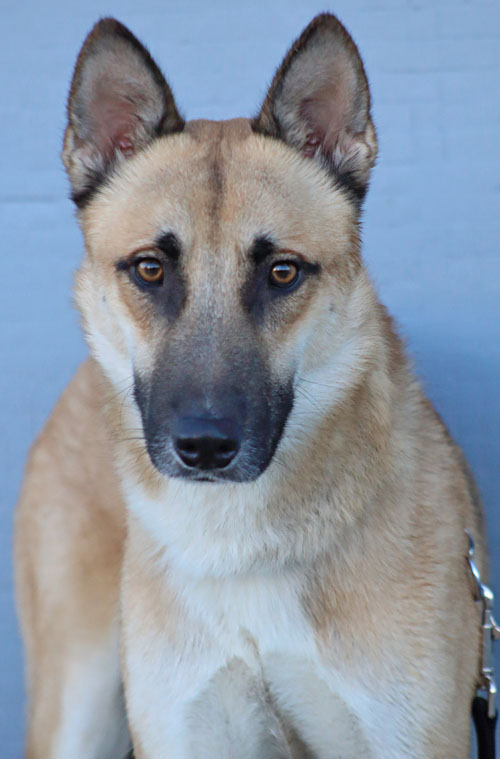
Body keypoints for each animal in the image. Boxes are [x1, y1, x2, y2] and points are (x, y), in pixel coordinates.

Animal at [14, 13, 488, 758]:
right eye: (149, 268)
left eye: (283, 272)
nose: (205, 447)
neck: (243, 551)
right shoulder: (184, 729)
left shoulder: (415, 736)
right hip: (76, 706)